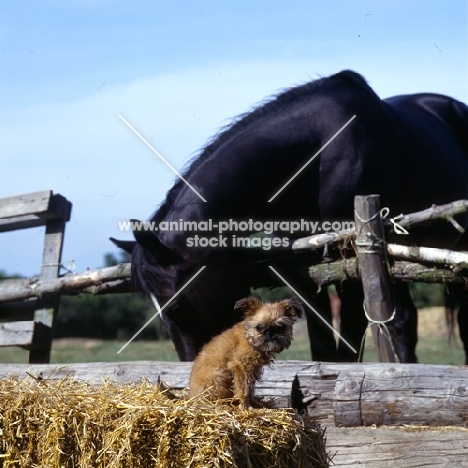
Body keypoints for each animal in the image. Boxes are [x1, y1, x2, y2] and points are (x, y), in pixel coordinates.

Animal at [119, 70, 468, 362]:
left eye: (176, 308)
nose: (192, 369)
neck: (320, 153)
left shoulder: (351, 268)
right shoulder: (304, 271)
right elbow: (322, 342)